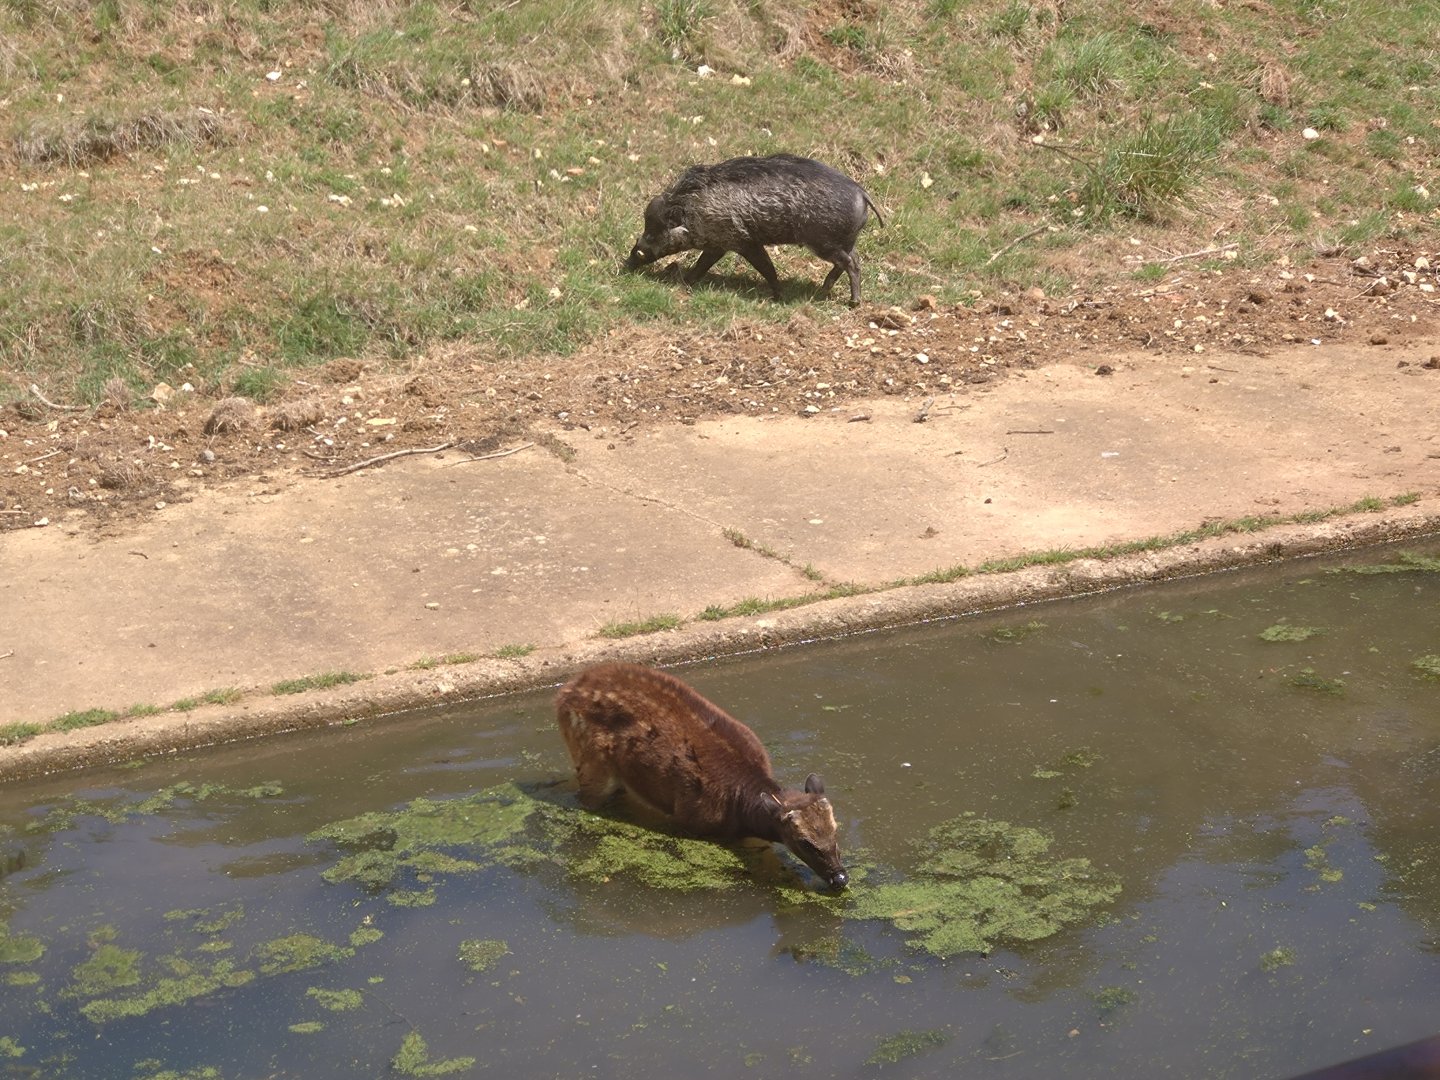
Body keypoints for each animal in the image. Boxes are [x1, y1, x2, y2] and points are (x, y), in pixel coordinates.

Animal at [555, 663, 848, 890]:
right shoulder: (689, 818)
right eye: (805, 842)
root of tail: (563, 693)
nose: (840, 878)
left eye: (836, 830)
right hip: (591, 762)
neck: (740, 809)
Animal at [624, 153, 883, 305]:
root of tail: (862, 192)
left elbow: (765, 268)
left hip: (824, 243)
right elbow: (702, 265)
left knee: (851, 264)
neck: (693, 209)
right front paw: (686, 282)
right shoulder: (720, 244)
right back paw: (824, 289)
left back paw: (853, 303)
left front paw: (778, 297)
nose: (626, 264)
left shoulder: (740, 241)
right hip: (844, 242)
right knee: (852, 259)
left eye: (652, 232)